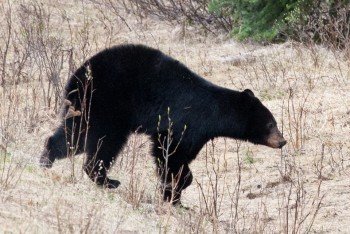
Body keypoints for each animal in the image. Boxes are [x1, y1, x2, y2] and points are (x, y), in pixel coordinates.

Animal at [40, 44, 288, 205]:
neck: (214, 113)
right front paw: (173, 190)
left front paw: (175, 196)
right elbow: (170, 154)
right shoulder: (183, 123)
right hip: (105, 104)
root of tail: (78, 75)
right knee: (104, 142)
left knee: (74, 136)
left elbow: (181, 155)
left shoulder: (197, 134)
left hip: (85, 107)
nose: (283, 141)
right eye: (270, 124)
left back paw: (47, 160)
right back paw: (107, 180)